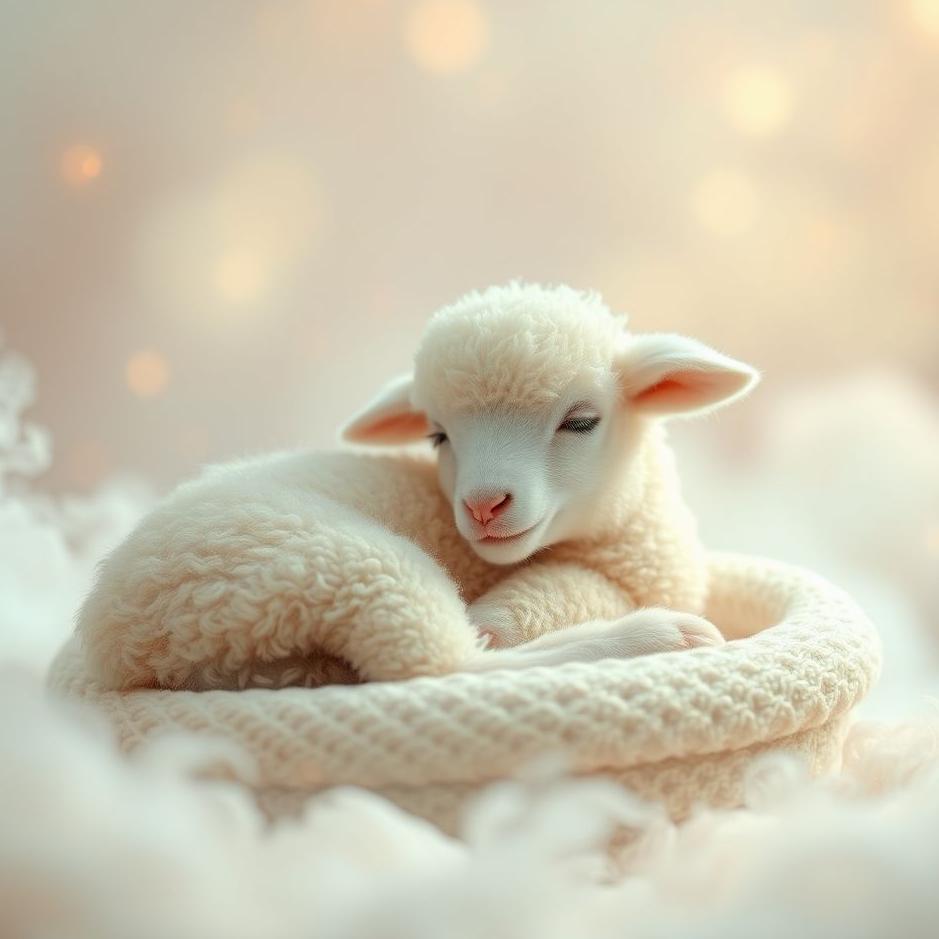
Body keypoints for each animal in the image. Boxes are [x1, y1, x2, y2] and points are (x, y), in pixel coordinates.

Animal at [76, 282, 759, 691]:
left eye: (582, 421)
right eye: (438, 435)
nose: (484, 505)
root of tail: (120, 638)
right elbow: (523, 609)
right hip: (329, 564)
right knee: (440, 666)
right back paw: (654, 639)